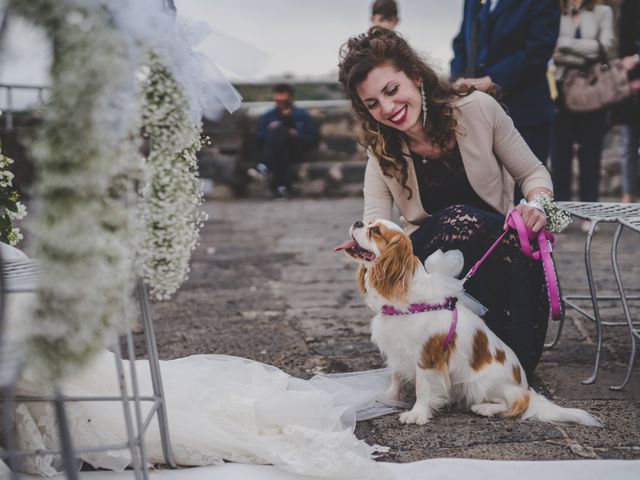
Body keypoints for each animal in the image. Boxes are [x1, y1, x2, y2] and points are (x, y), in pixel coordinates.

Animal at [338, 219, 604, 426]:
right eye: (368, 223)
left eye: (375, 230)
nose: (358, 222)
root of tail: (523, 383)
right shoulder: (397, 349)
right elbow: (395, 375)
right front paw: (389, 398)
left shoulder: (427, 356)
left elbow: (423, 388)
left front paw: (417, 414)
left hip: (480, 383)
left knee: (520, 402)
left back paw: (486, 408)